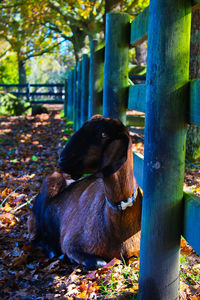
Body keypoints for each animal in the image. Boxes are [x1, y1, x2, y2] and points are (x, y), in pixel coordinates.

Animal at [28, 116, 143, 268]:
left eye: (103, 134)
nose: (62, 160)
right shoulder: (70, 242)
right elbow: (99, 262)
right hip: (51, 182)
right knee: (34, 238)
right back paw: (52, 250)